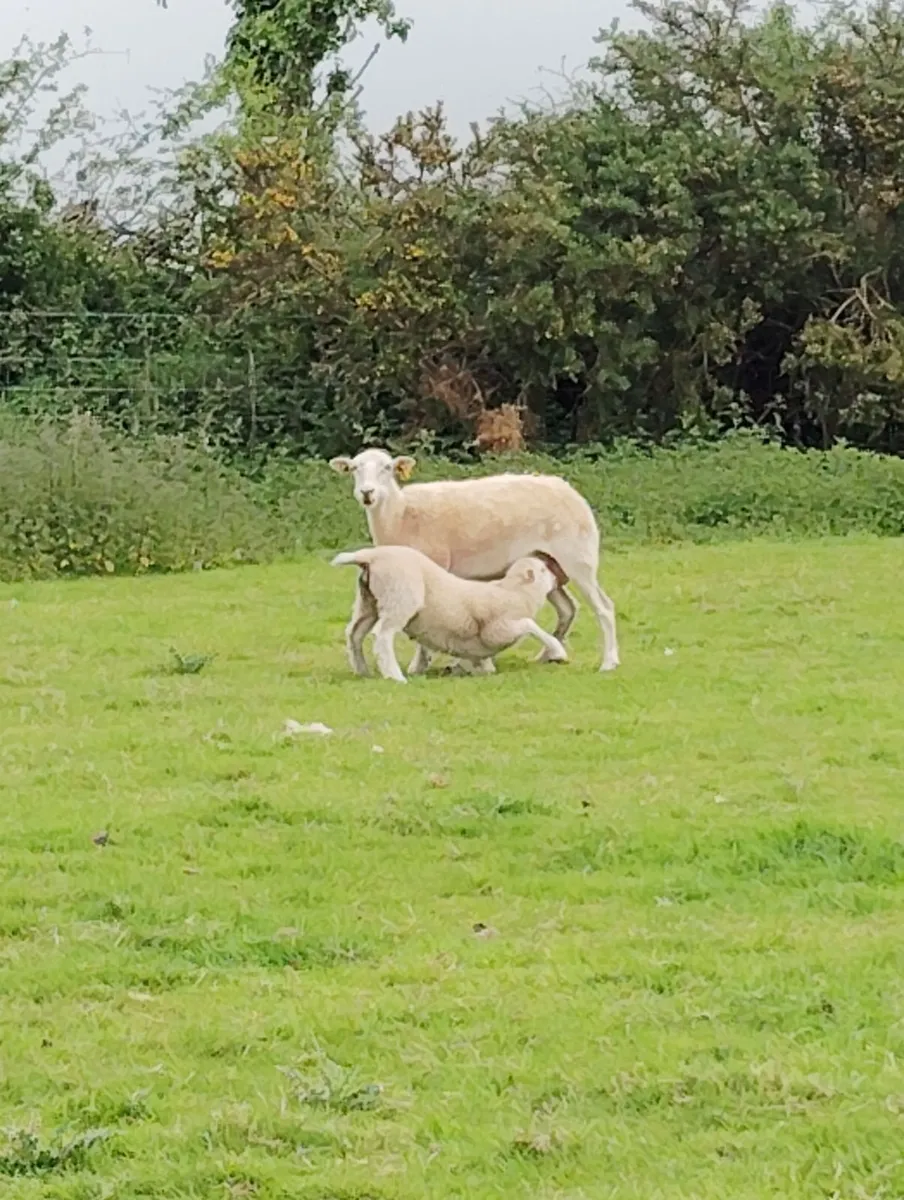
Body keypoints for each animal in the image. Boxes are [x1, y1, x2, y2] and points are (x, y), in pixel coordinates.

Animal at [331, 544, 570, 682]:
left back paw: (362, 671)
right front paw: (558, 651)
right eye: (543, 570)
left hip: (367, 601)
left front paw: (473, 669)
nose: (558, 579)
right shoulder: (498, 630)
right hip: (400, 596)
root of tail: (371, 556)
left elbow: (482, 662)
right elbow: (530, 624)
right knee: (383, 636)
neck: (515, 593)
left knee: (354, 633)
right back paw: (394, 675)